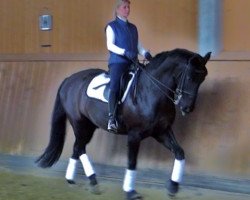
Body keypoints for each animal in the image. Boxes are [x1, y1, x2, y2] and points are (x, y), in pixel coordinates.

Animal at [36, 48, 210, 200]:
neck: (151, 91)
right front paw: (130, 192)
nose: (187, 108)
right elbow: (132, 163)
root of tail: (69, 80)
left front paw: (173, 187)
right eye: (190, 77)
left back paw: (75, 179)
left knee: (78, 148)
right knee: (79, 147)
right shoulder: (134, 135)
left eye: (202, 79)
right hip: (80, 124)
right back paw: (91, 181)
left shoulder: (162, 131)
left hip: (89, 126)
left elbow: (179, 152)